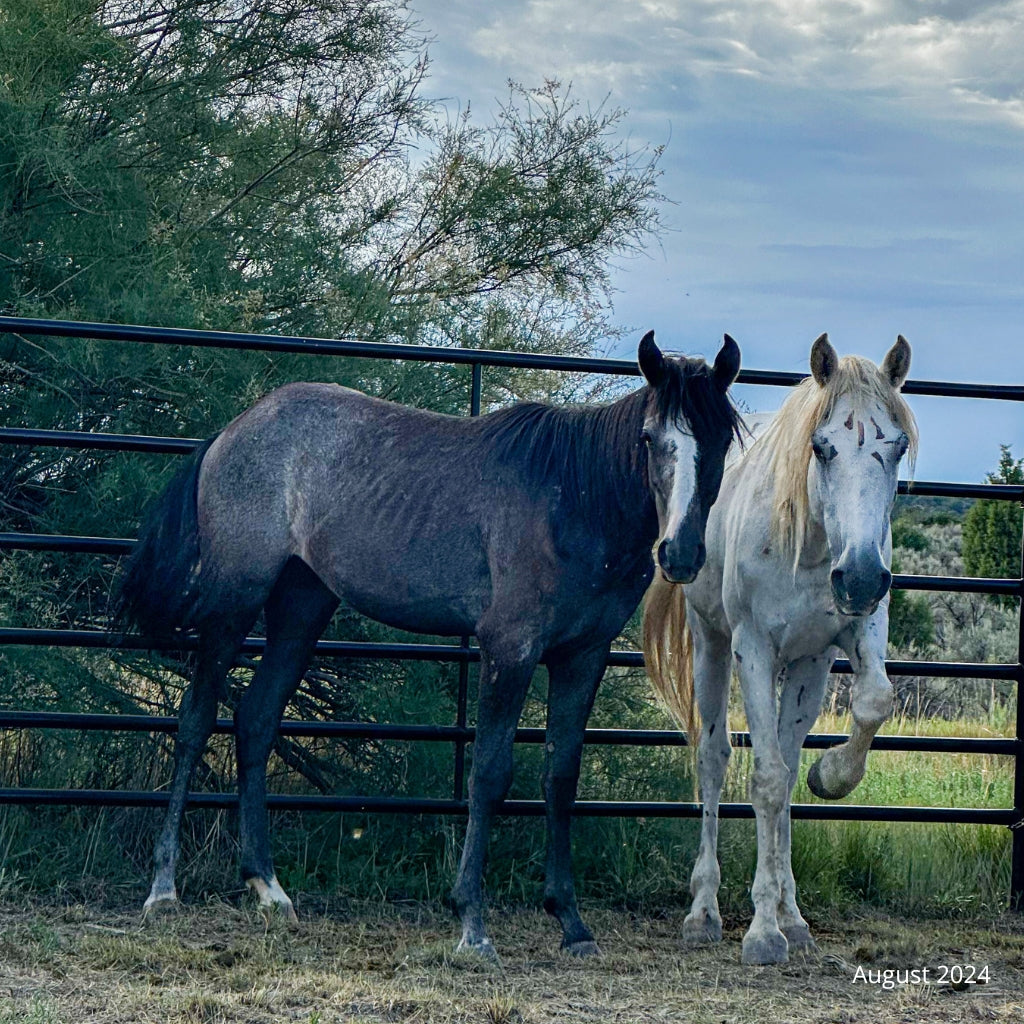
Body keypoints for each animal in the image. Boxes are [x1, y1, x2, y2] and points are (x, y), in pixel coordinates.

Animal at [117, 331, 745, 954]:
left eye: (719, 440)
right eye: (649, 438)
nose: (679, 554)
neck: (575, 498)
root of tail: (232, 432)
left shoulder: (581, 658)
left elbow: (561, 777)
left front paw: (571, 924)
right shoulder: (509, 649)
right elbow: (489, 774)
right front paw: (471, 922)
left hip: (301, 606)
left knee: (255, 718)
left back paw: (268, 887)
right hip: (234, 601)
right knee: (196, 720)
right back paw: (163, 890)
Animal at [643, 333, 917, 958]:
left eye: (897, 446)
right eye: (822, 447)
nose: (860, 577)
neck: (812, 546)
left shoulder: (846, 639)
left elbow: (870, 706)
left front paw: (831, 776)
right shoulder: (755, 649)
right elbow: (764, 779)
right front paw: (762, 933)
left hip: (807, 667)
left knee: (787, 765)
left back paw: (792, 916)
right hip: (713, 646)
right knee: (714, 758)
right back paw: (704, 912)